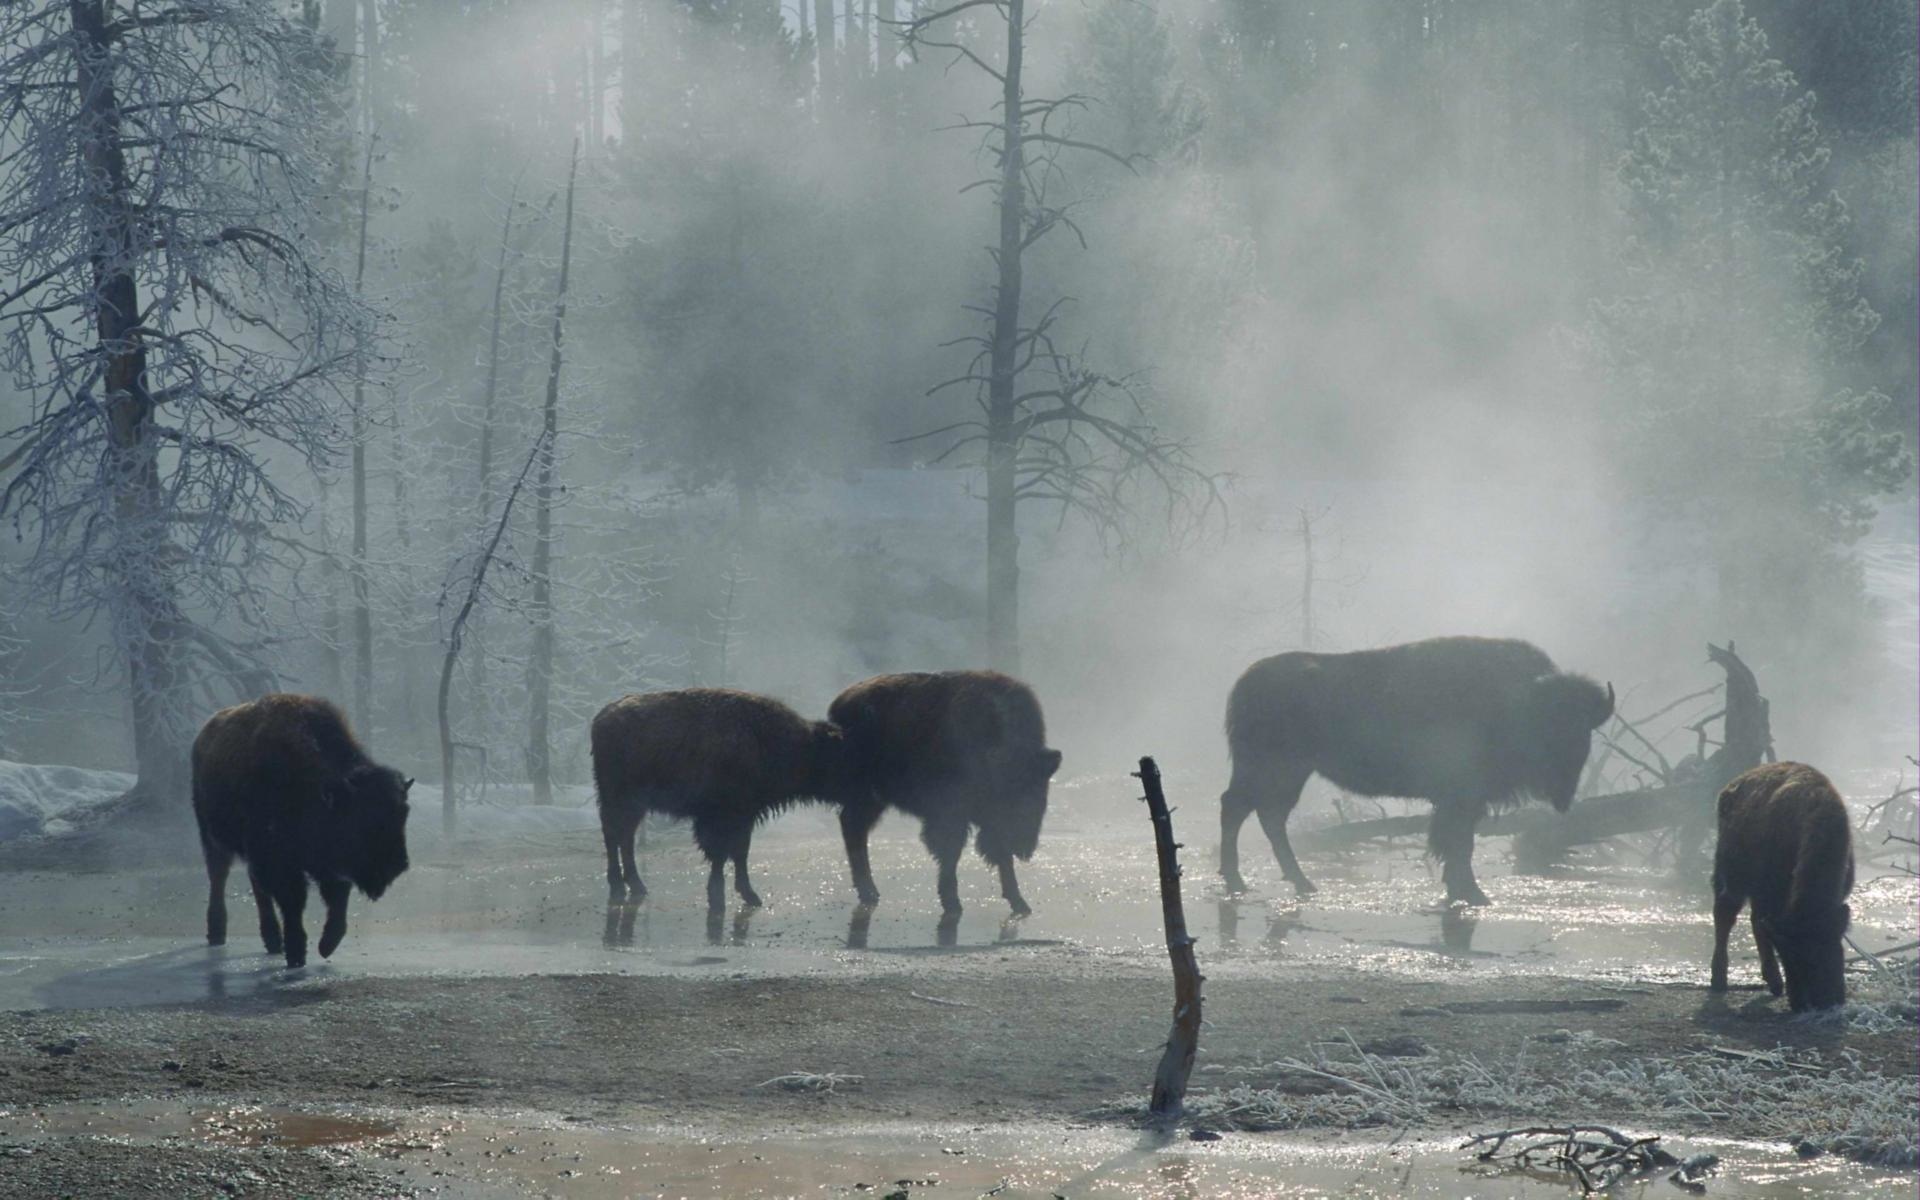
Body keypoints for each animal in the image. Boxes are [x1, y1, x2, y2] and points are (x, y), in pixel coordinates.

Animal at [193, 691, 412, 963]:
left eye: (403, 814)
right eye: (363, 818)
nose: (398, 865)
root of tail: (203, 735)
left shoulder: (326, 865)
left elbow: (337, 899)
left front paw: (326, 945)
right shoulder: (279, 862)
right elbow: (294, 901)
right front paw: (297, 952)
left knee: (257, 888)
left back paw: (272, 940)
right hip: (212, 838)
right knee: (219, 877)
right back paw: (217, 933)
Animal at [583, 683, 840, 906]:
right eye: (836, 754)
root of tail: (601, 718)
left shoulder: (743, 817)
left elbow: (737, 851)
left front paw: (744, 894)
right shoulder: (726, 816)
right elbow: (723, 852)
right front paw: (732, 895)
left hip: (633, 805)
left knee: (624, 837)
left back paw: (637, 886)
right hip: (620, 800)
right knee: (614, 835)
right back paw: (619, 887)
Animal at [825, 668, 1067, 913]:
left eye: (1041, 791)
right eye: (1012, 792)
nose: (1024, 847)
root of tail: (841, 703)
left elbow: (999, 857)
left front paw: (1019, 902)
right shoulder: (952, 815)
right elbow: (951, 852)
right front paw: (952, 901)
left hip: (874, 800)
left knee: (853, 827)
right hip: (868, 796)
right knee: (853, 828)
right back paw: (869, 892)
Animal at [1221, 633, 1612, 902]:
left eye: (1583, 728)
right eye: (1550, 724)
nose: (1564, 789)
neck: (1517, 702)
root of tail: (1245, 683)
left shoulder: (1463, 802)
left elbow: (1458, 842)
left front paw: (1462, 890)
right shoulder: (1460, 799)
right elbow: (1458, 842)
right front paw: (1473, 894)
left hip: (1288, 775)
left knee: (1266, 817)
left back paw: (1299, 883)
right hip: (1269, 770)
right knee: (1238, 809)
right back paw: (1244, 881)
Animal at [1712, 764, 1858, 1006]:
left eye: (1832, 943)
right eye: (1790, 954)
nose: (1827, 999)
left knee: (1753, 920)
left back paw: (1774, 983)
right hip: (1733, 876)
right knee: (1725, 914)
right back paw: (1719, 979)